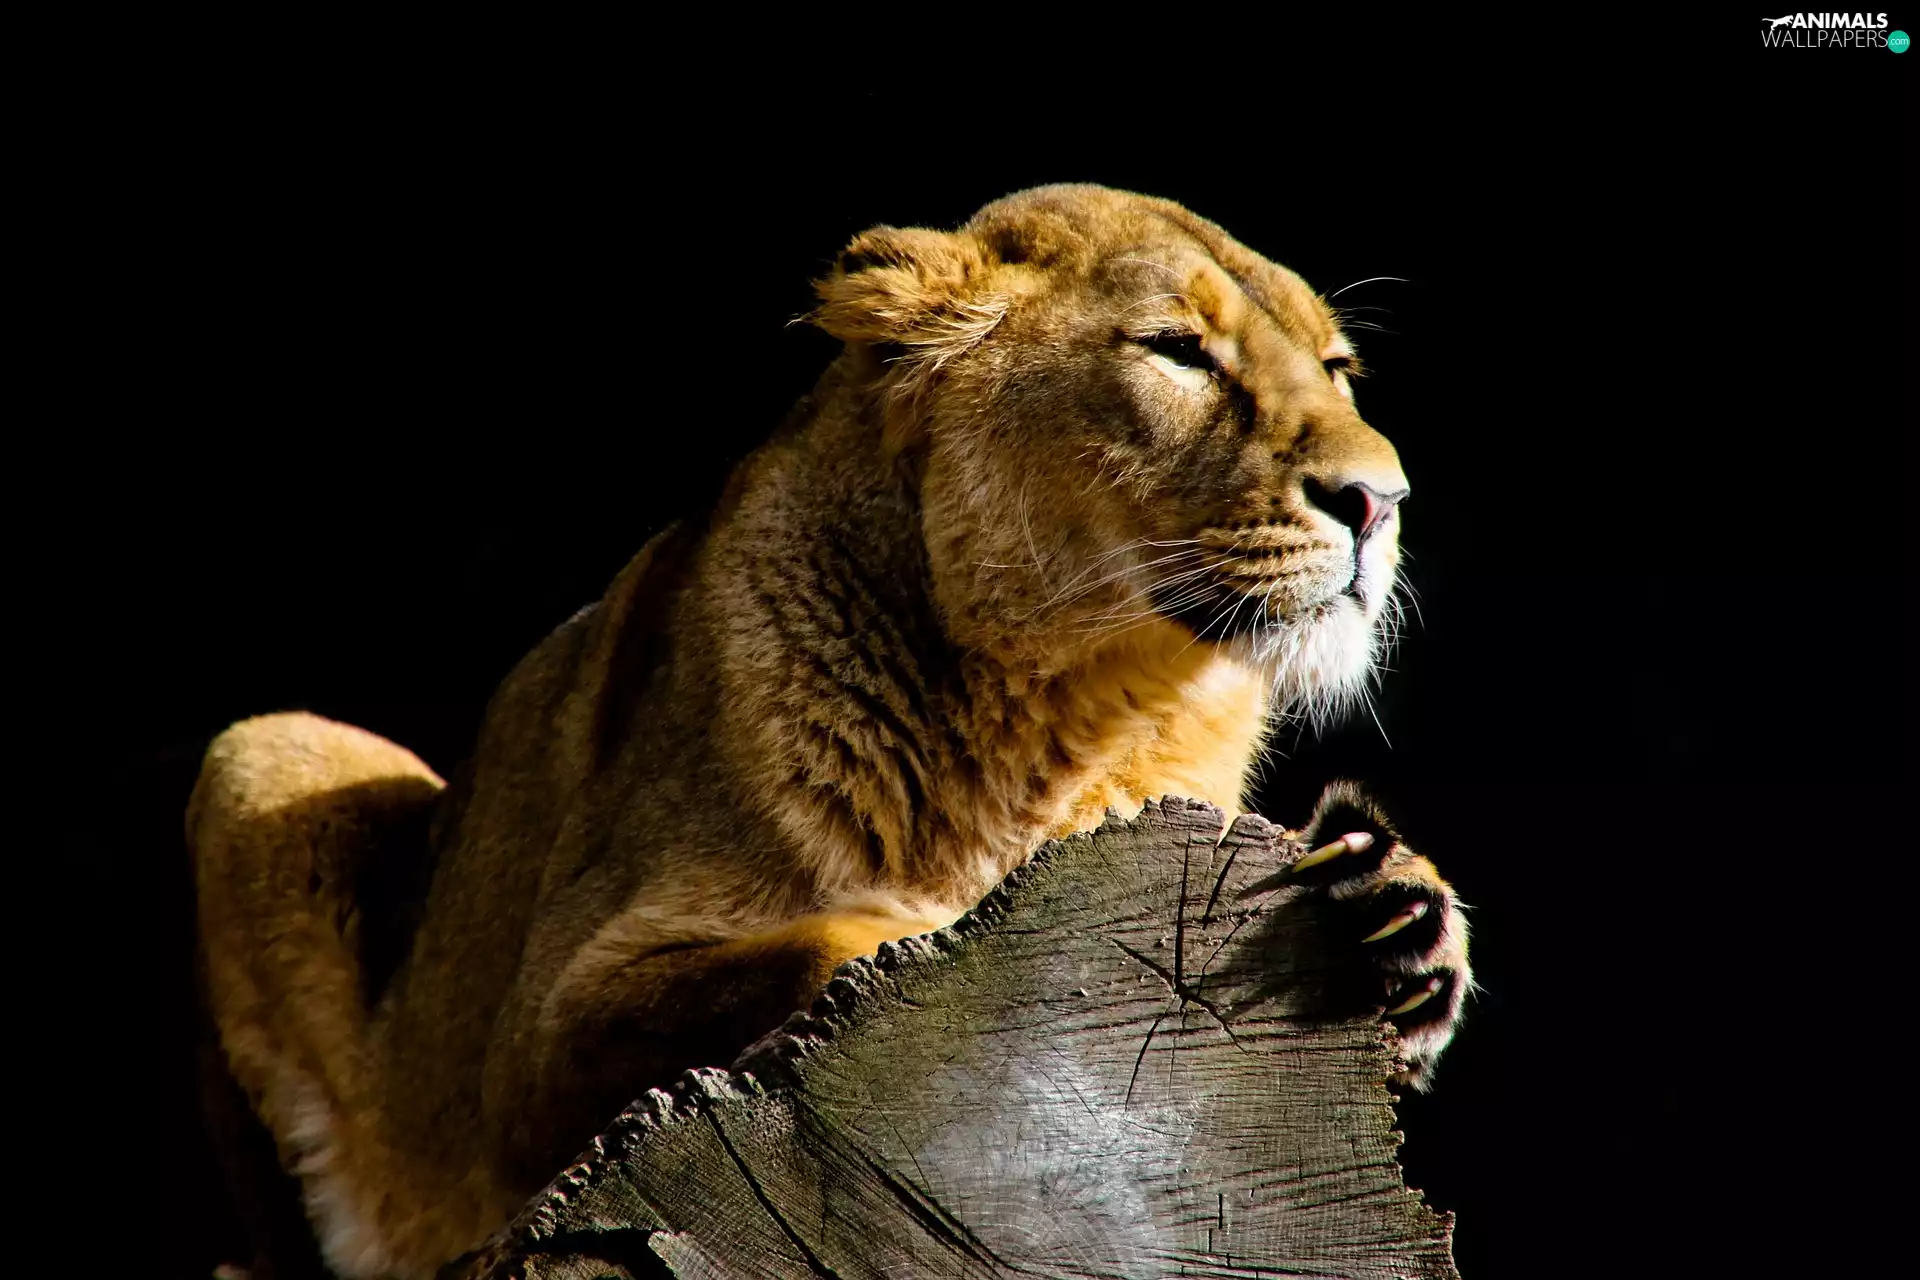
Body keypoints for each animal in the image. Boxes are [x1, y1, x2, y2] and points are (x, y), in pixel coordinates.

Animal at [190, 184, 1472, 1278]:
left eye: (1338, 368)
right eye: (1177, 349)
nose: (1382, 500)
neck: (1082, 713)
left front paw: (1394, 901)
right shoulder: (536, 1039)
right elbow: (823, 940)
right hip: (267, 749)